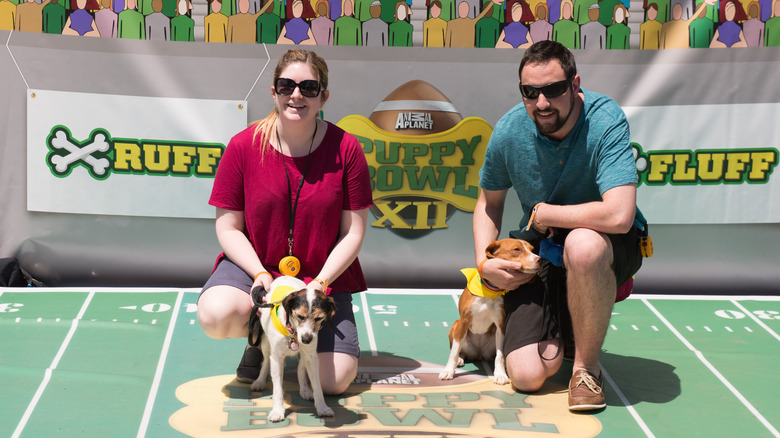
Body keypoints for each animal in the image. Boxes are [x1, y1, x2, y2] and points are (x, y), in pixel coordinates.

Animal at [250, 276, 336, 422]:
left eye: (319, 318)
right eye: (300, 316)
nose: (306, 339)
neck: (293, 333)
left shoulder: (311, 356)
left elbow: (317, 385)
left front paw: (322, 407)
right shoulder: (277, 357)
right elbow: (277, 387)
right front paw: (277, 410)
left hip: (304, 354)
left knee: (300, 369)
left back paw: (305, 389)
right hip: (266, 344)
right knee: (266, 361)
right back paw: (260, 381)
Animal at [438, 238, 544, 384]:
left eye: (532, 249)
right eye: (517, 249)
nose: (540, 259)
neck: (490, 292)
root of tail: (479, 353)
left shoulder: (500, 325)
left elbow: (500, 355)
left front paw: (500, 374)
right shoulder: (464, 322)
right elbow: (454, 351)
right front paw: (448, 370)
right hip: (456, 325)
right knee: (459, 349)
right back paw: (460, 359)